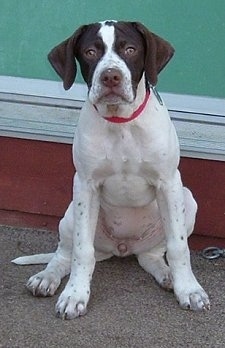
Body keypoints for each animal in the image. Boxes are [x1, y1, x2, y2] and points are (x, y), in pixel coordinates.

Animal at [12, 19, 209, 318]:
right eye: (90, 52)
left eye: (130, 49)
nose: (110, 77)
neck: (121, 122)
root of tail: (122, 247)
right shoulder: (85, 185)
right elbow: (82, 251)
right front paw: (74, 295)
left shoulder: (169, 183)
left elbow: (179, 247)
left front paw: (188, 289)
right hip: (71, 212)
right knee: (64, 254)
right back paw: (46, 277)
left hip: (187, 199)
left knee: (151, 256)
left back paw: (167, 275)